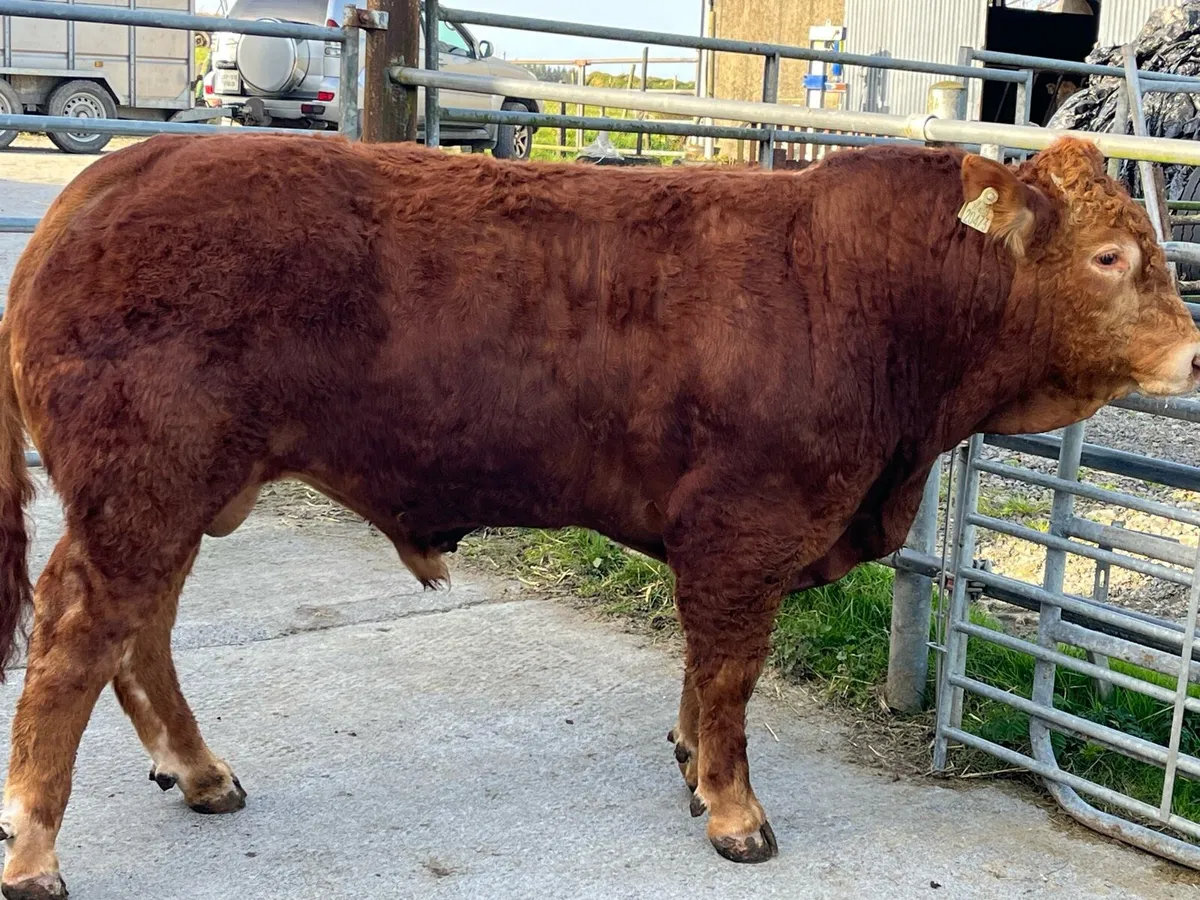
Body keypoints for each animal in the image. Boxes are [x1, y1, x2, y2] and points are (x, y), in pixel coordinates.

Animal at [0, 132, 1195, 898]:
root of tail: (116, 171)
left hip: (171, 494)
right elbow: (731, 671)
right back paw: (35, 851)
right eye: (1109, 256)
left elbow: (704, 672)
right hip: (143, 485)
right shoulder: (746, 525)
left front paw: (688, 761)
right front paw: (735, 813)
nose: (1191, 353)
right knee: (74, 643)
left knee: (142, 634)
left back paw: (200, 773)